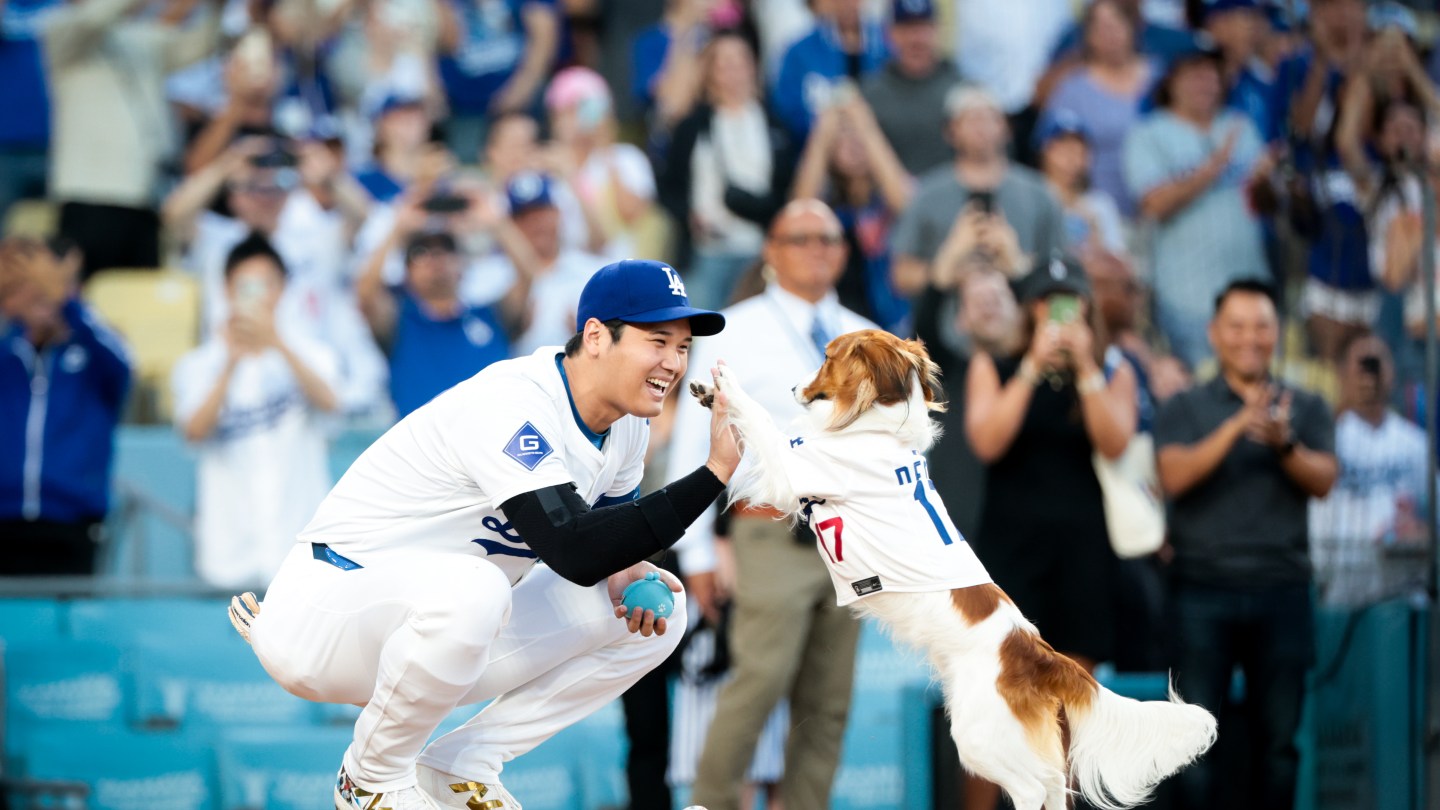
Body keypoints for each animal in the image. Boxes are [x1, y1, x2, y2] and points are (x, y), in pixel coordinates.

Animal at [691, 328, 1221, 807]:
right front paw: (709, 393)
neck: (876, 428)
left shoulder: (792, 470)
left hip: (978, 735)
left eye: (826, 357)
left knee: (1033, 788)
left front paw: (727, 384)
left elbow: (762, 423)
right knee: (1054, 785)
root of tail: (1040, 654)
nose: (793, 388)